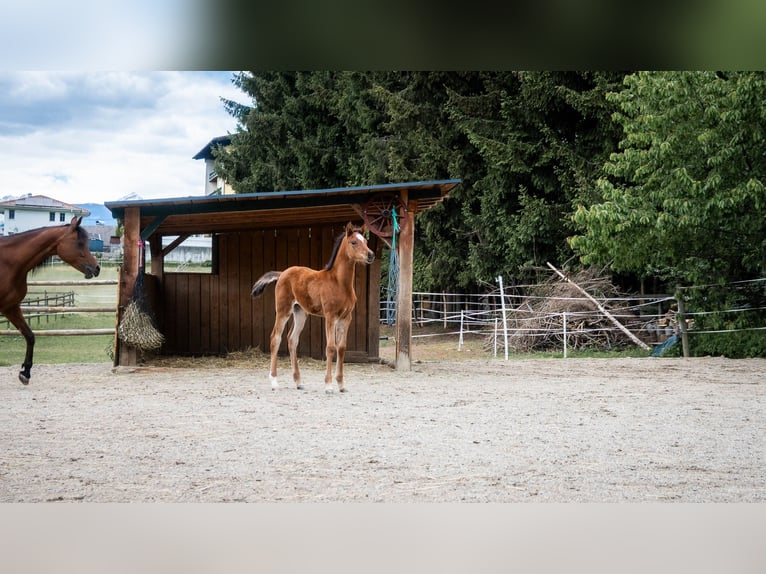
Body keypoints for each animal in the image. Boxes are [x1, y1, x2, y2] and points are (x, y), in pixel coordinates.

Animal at [0, 216, 101, 384]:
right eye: (80, 243)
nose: (97, 268)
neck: (8, 262)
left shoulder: (11, 307)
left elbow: (30, 336)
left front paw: (26, 372)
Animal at [251, 222, 375, 393]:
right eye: (354, 242)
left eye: (366, 242)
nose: (371, 255)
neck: (339, 283)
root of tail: (282, 273)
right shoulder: (330, 316)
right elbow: (330, 347)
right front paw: (328, 385)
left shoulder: (346, 318)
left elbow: (341, 348)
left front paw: (341, 385)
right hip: (283, 310)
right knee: (275, 338)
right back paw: (274, 381)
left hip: (300, 313)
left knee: (292, 339)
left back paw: (298, 382)